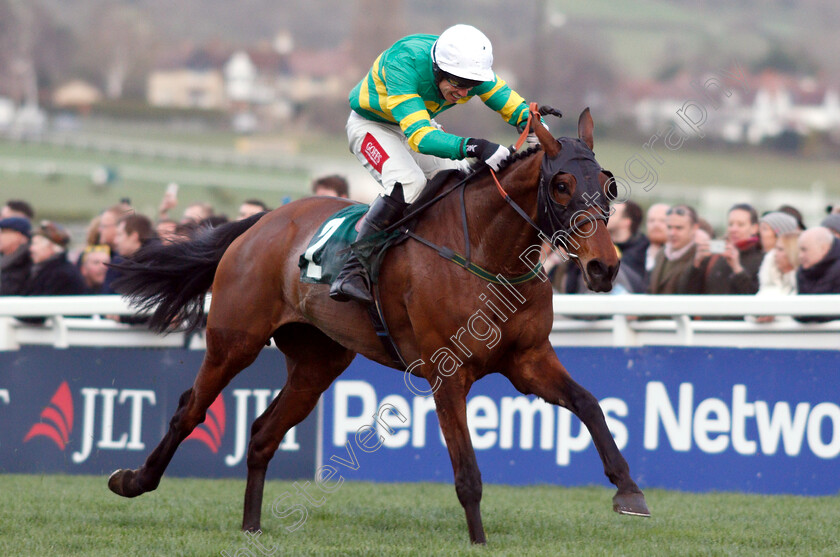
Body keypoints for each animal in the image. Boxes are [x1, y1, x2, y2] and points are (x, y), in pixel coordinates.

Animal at [108, 107, 648, 544]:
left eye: (608, 184)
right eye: (561, 185)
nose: (604, 267)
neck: (485, 254)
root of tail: (262, 222)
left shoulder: (528, 359)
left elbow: (589, 404)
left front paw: (629, 491)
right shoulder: (447, 374)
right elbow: (467, 472)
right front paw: (478, 541)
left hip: (318, 362)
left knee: (262, 433)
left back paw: (251, 526)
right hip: (233, 340)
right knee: (189, 411)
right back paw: (133, 481)